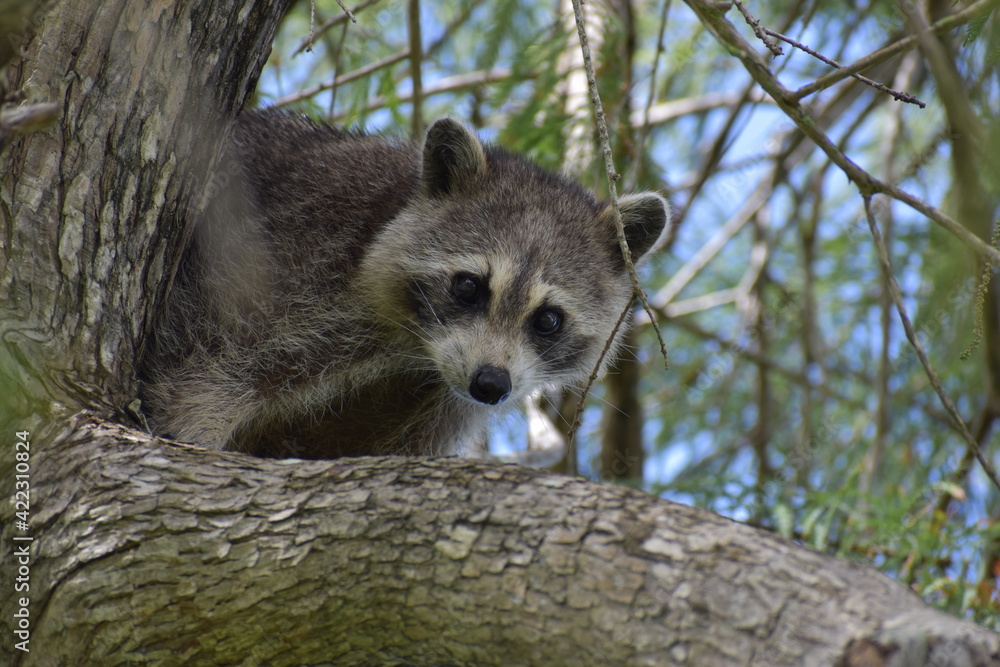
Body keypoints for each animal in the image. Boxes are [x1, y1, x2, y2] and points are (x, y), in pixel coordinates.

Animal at [140, 110, 670, 459]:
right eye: (469, 287)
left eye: (549, 320)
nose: (490, 384)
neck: (415, 351)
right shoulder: (286, 265)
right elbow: (204, 368)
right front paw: (194, 426)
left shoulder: (438, 401)